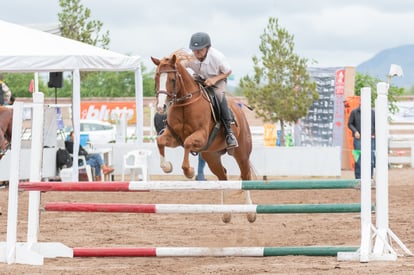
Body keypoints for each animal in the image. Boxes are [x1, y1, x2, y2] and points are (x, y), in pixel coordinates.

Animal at [152, 52, 256, 223]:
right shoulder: (173, 137)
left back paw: (250, 213)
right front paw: (167, 167)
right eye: (156, 77)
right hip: (211, 156)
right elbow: (160, 141)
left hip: (241, 153)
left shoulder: (201, 136)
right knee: (223, 177)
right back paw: (226, 214)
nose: (161, 107)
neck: (185, 103)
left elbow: (188, 143)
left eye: (172, 80)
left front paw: (189, 171)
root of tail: (240, 112)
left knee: (245, 176)